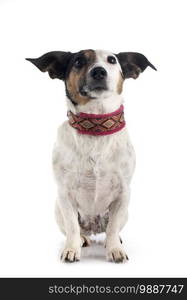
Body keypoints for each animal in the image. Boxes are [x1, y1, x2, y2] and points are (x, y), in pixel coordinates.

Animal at [26, 49, 156, 262]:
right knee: (76, 230)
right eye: (79, 61)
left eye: (112, 60)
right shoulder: (64, 194)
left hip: (125, 212)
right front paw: (71, 249)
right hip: (57, 209)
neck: (95, 127)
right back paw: (82, 239)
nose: (99, 72)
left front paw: (115, 249)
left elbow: (113, 227)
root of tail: (93, 228)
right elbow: (71, 226)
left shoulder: (123, 193)